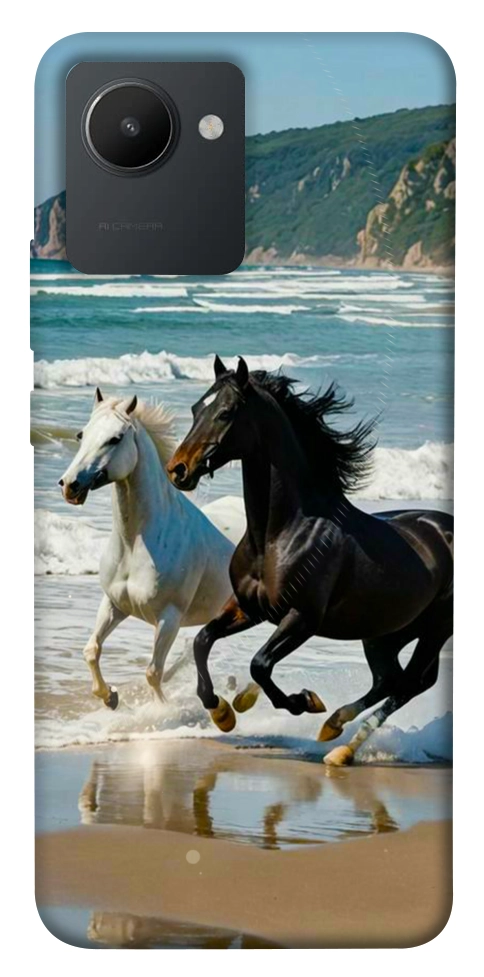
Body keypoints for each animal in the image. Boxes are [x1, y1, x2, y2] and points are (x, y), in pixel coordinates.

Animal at [59, 388, 234, 709]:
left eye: (115, 438)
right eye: (81, 434)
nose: (69, 485)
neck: (135, 544)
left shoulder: (169, 618)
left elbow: (153, 672)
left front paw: (161, 711)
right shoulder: (114, 604)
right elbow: (91, 650)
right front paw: (110, 697)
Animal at [166, 356, 453, 765]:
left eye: (225, 413)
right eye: (195, 409)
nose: (178, 470)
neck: (279, 534)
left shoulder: (302, 618)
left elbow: (260, 663)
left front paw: (303, 701)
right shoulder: (248, 608)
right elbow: (202, 641)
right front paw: (222, 712)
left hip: (434, 629)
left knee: (410, 683)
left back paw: (341, 747)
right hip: (385, 632)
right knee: (390, 679)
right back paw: (334, 728)